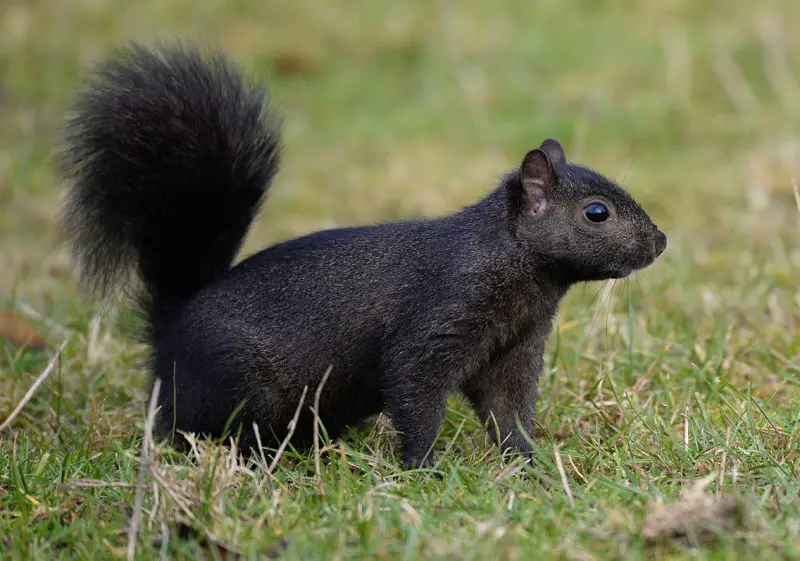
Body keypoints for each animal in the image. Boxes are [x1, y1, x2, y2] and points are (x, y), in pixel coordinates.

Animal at [59, 42, 667, 469]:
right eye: (596, 213)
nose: (660, 242)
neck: (519, 268)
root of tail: (170, 331)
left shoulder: (513, 349)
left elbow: (508, 412)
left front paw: (530, 468)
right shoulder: (437, 321)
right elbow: (416, 392)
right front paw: (425, 470)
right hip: (240, 388)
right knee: (196, 431)